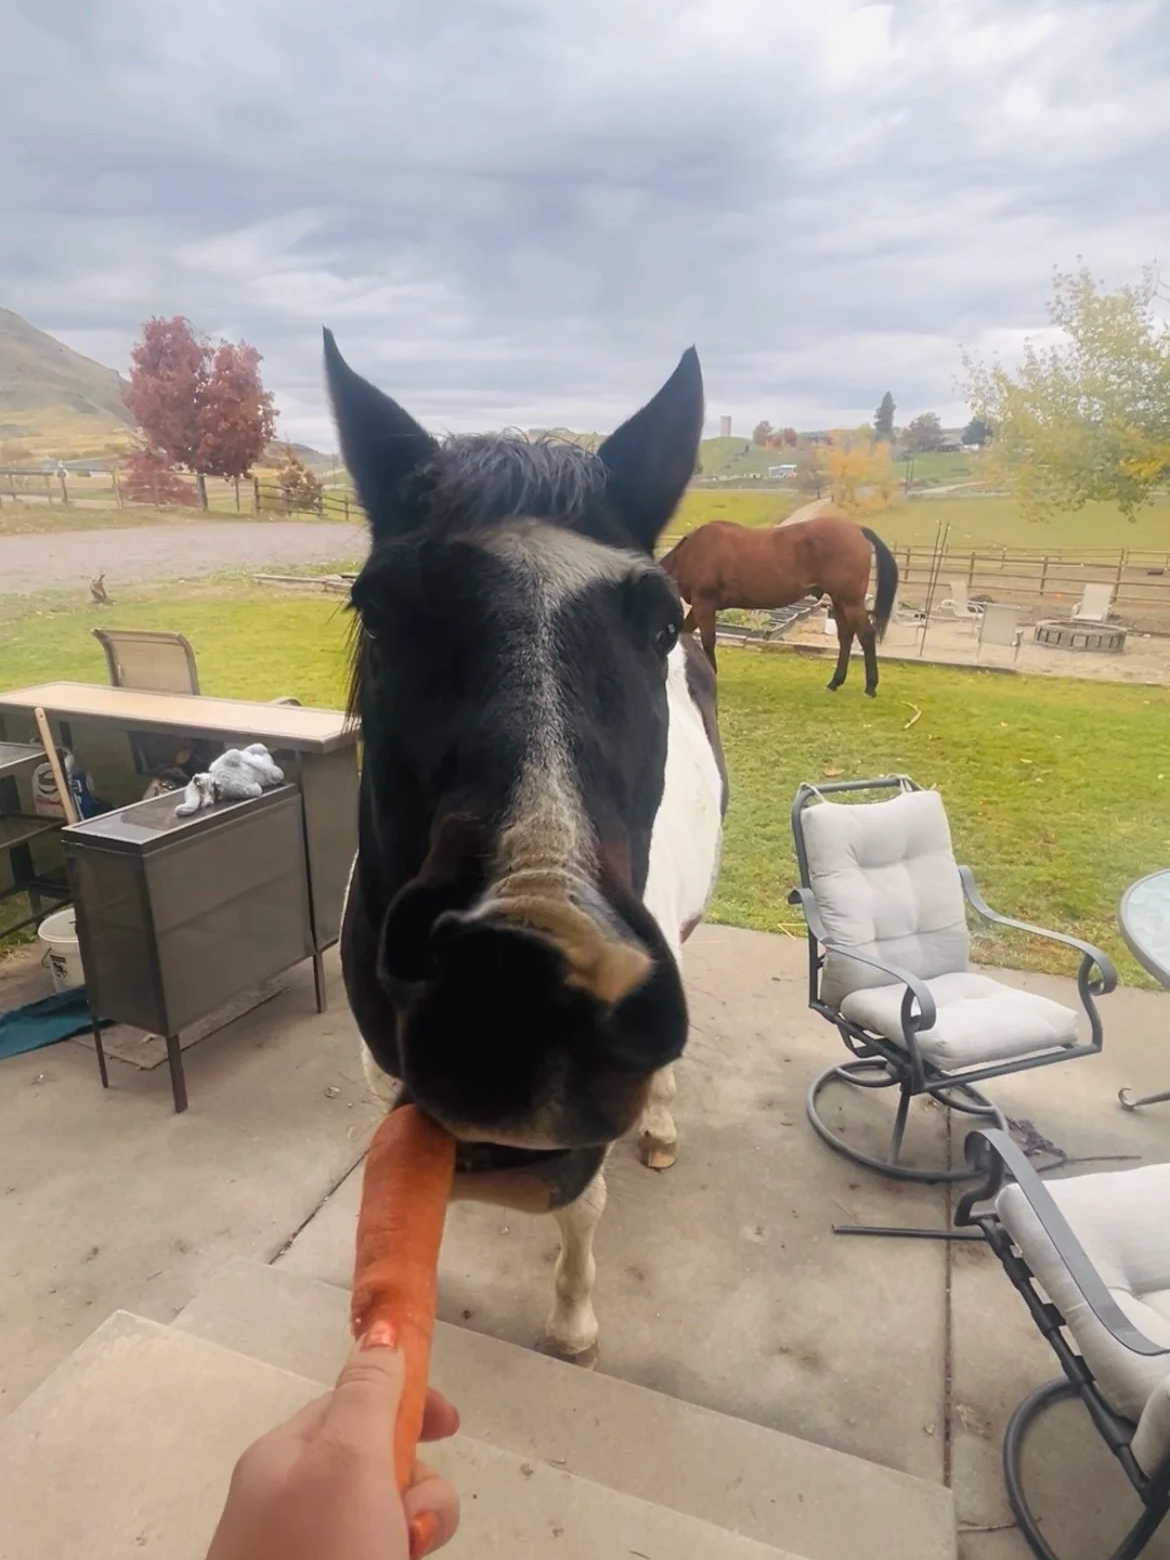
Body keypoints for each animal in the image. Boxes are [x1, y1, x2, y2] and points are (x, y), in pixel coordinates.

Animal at [660, 511, 899, 697]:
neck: (693, 552)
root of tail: (856, 529)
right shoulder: (699, 608)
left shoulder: (704, 604)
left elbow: (707, 641)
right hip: (840, 602)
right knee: (846, 638)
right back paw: (834, 683)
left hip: (850, 602)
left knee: (866, 636)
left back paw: (870, 687)